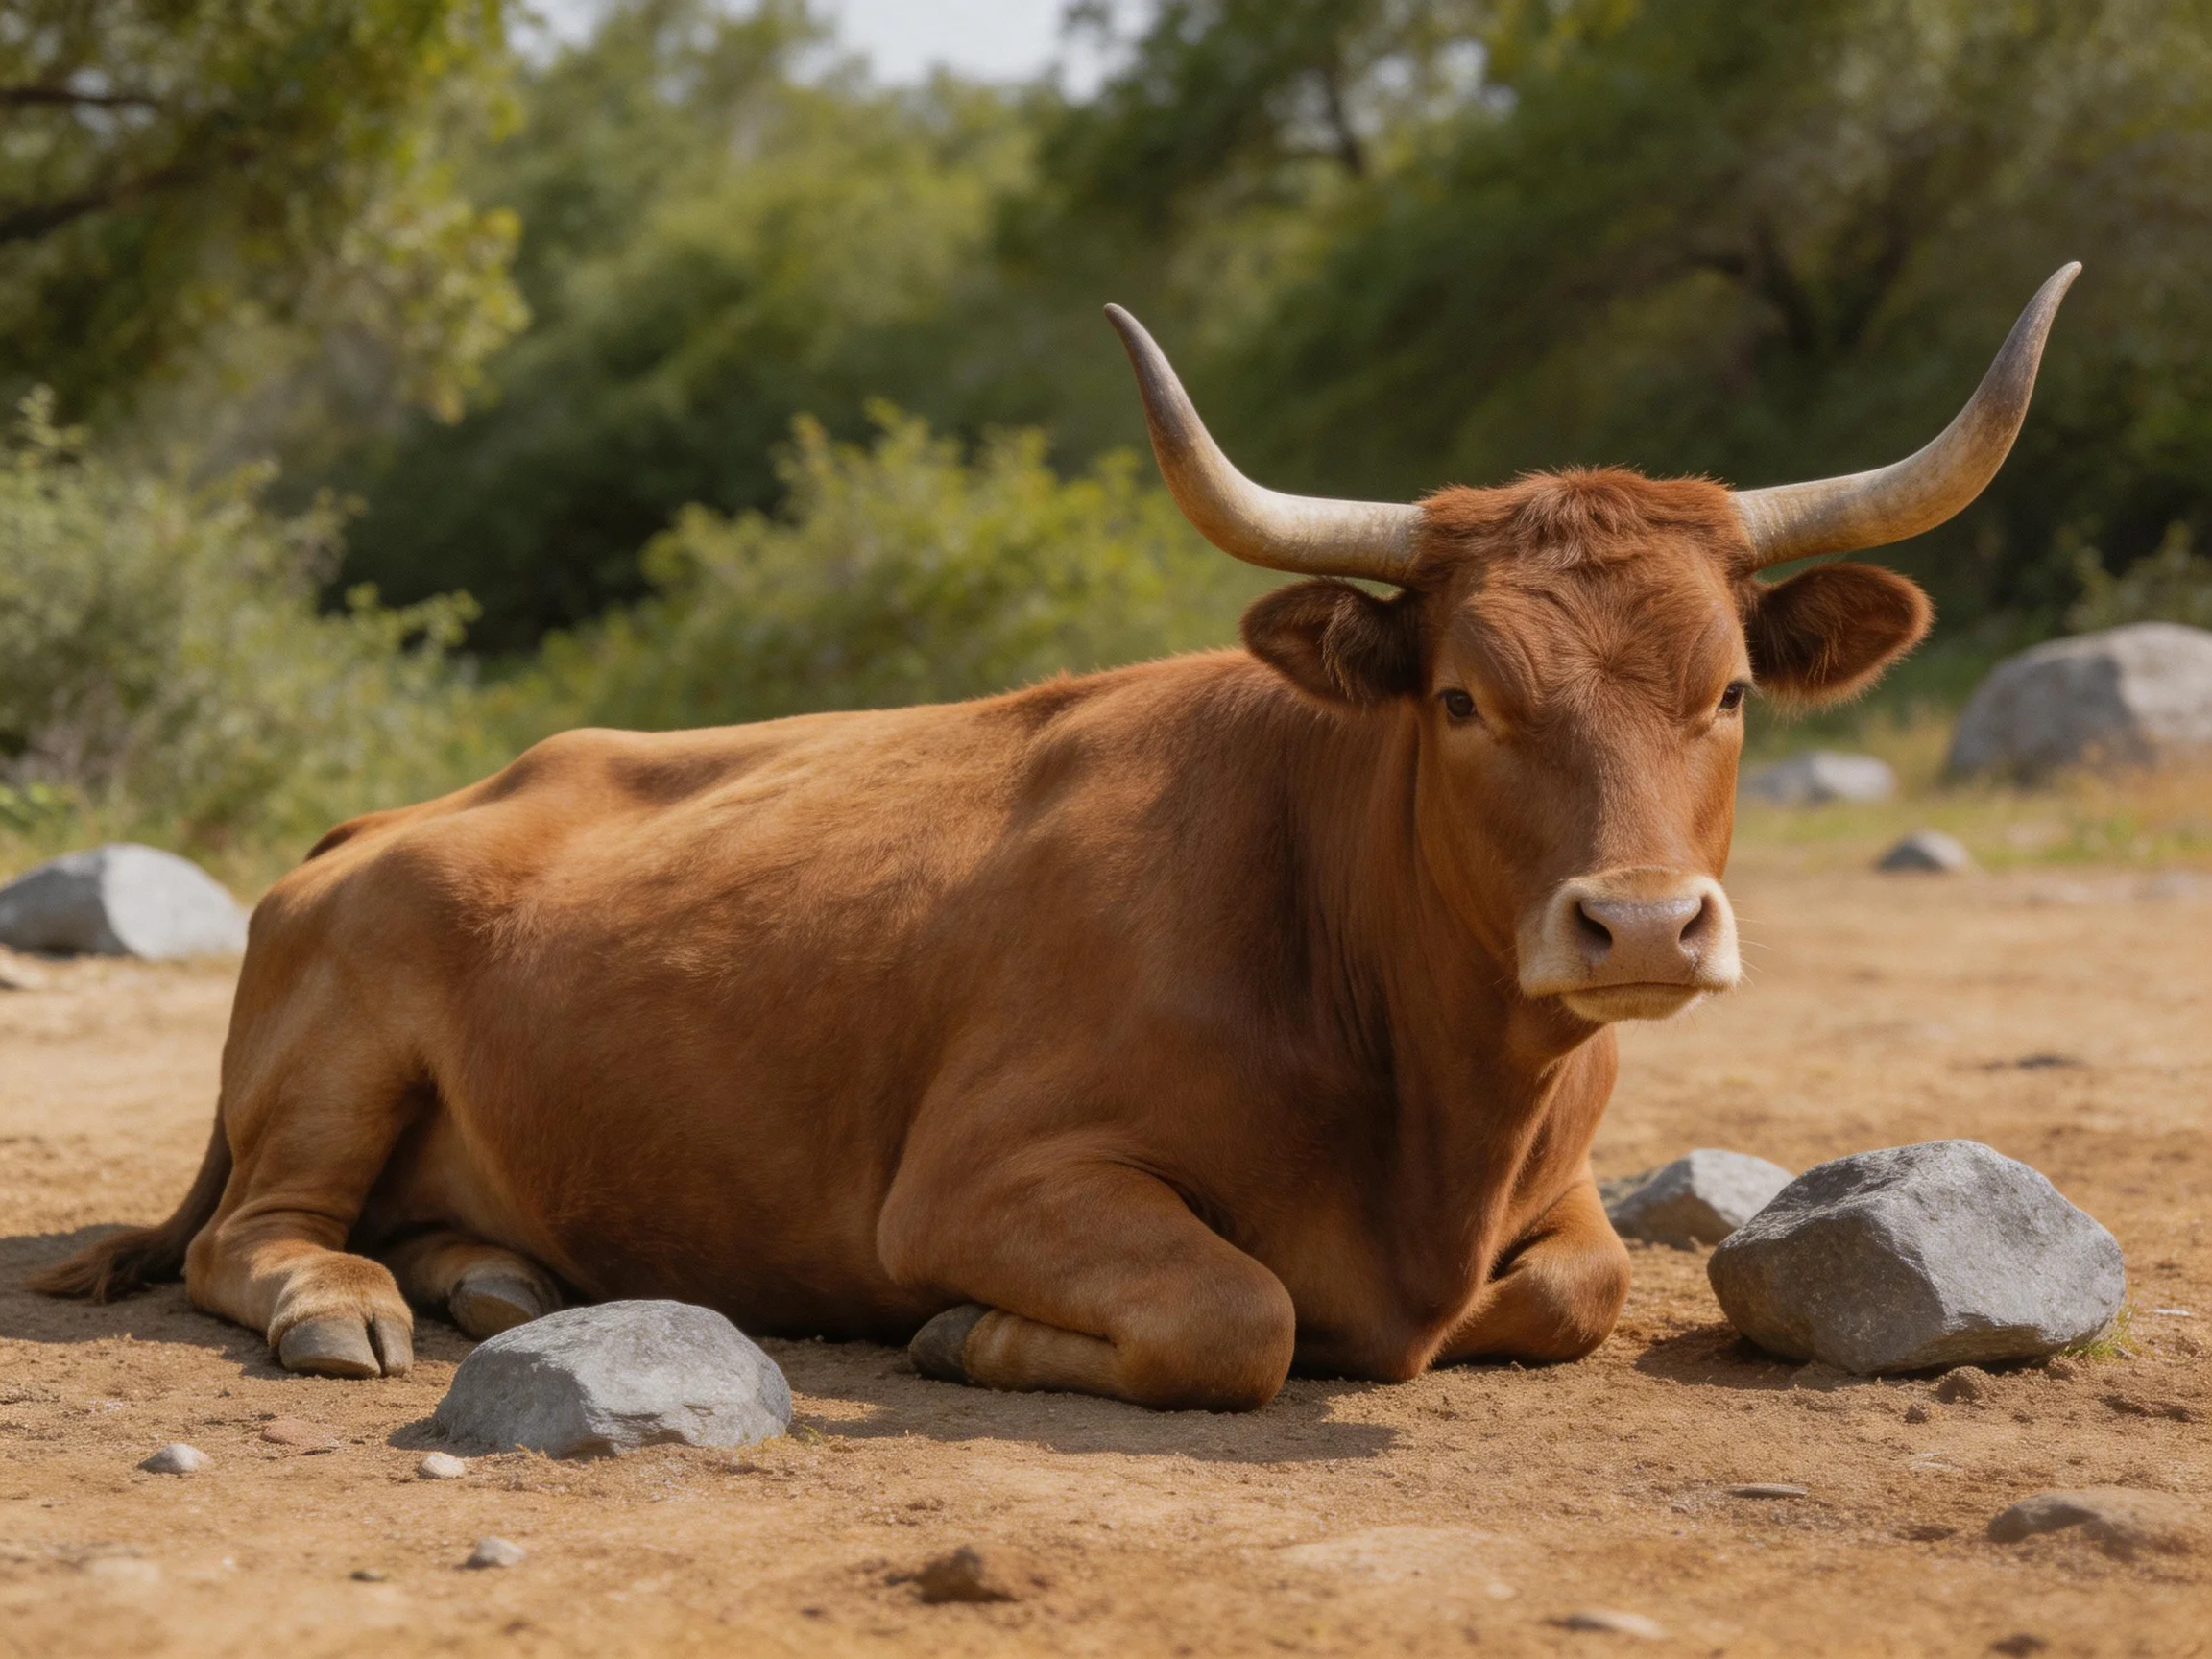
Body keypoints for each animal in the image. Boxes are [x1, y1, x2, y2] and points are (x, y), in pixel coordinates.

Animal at [33, 267, 2078, 1412]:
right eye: (1458, 697)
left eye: (1726, 690)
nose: (1639, 926)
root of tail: (397, 813)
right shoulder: (977, 1180)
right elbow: (1237, 1312)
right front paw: (959, 1338)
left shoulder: (1557, 1194)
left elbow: (1570, 1290)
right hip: (338, 1055)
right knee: (263, 1234)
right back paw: (356, 1308)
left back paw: (501, 1277)